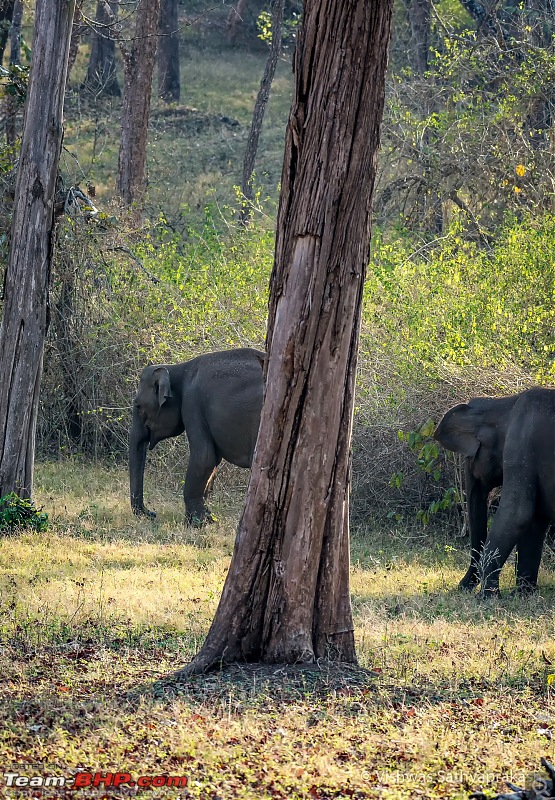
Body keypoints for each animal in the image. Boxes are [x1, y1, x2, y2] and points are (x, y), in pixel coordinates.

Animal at [436, 388, 552, 592]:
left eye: (470, 457)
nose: (460, 587)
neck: (505, 403)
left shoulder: (520, 448)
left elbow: (516, 514)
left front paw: (485, 596)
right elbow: (534, 521)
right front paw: (523, 593)